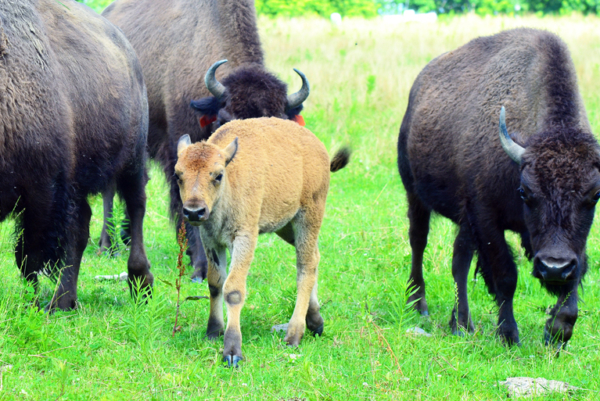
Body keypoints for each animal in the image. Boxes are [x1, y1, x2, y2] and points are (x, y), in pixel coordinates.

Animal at [100, 0, 310, 282]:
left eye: (275, 125)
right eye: (224, 119)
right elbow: (186, 206)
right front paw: (199, 266)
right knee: (110, 189)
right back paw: (107, 246)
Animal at [396, 27, 596, 346]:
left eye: (595, 195)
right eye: (526, 192)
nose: (554, 267)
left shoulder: (571, 244)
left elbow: (576, 275)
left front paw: (556, 333)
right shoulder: (486, 217)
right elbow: (505, 274)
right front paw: (509, 334)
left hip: (463, 218)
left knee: (460, 259)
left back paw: (461, 323)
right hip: (415, 195)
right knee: (419, 241)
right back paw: (420, 304)